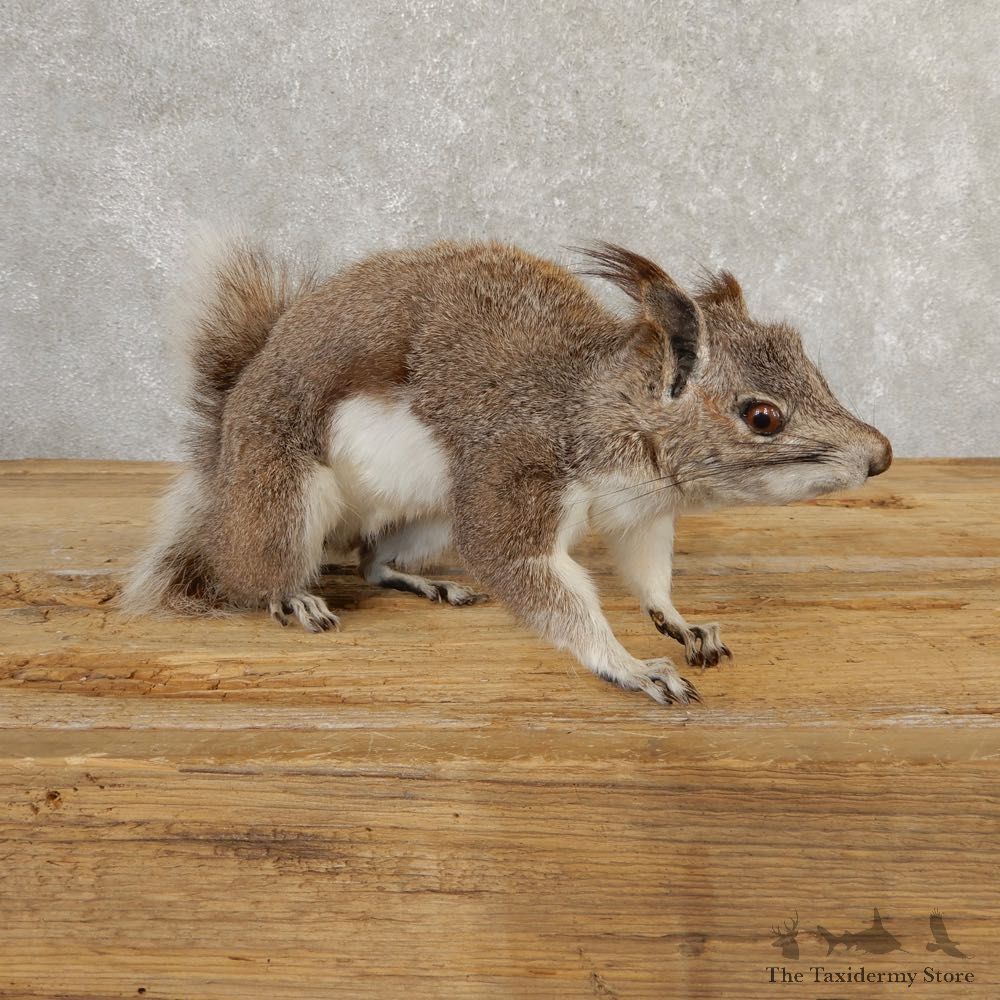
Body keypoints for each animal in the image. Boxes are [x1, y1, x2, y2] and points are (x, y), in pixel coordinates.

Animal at [122, 236, 892, 705]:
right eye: (762, 416)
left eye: (813, 367)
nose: (880, 455)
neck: (604, 409)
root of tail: (228, 444)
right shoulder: (515, 474)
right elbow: (534, 576)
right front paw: (631, 666)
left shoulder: (639, 513)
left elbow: (648, 574)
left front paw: (678, 622)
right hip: (286, 493)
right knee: (258, 570)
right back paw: (292, 597)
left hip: (433, 517)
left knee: (373, 559)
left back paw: (426, 581)